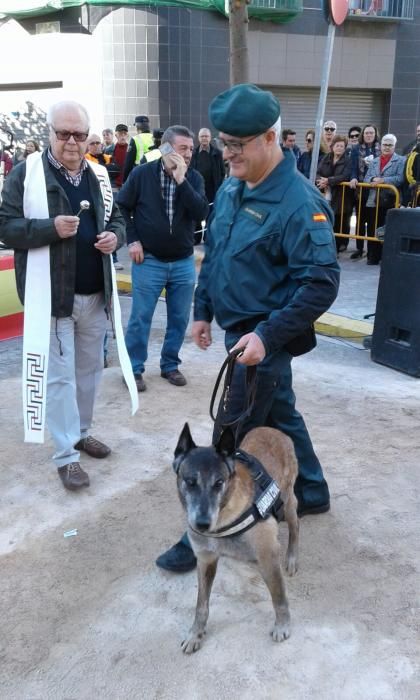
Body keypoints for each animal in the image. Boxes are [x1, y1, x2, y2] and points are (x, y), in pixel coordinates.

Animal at [173, 422, 298, 656]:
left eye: (219, 482)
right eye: (190, 482)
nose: (201, 524)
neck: (223, 519)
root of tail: (273, 429)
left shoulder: (269, 557)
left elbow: (279, 597)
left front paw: (282, 625)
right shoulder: (205, 560)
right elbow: (201, 605)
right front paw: (195, 634)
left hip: (287, 501)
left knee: (296, 527)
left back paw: (292, 558)